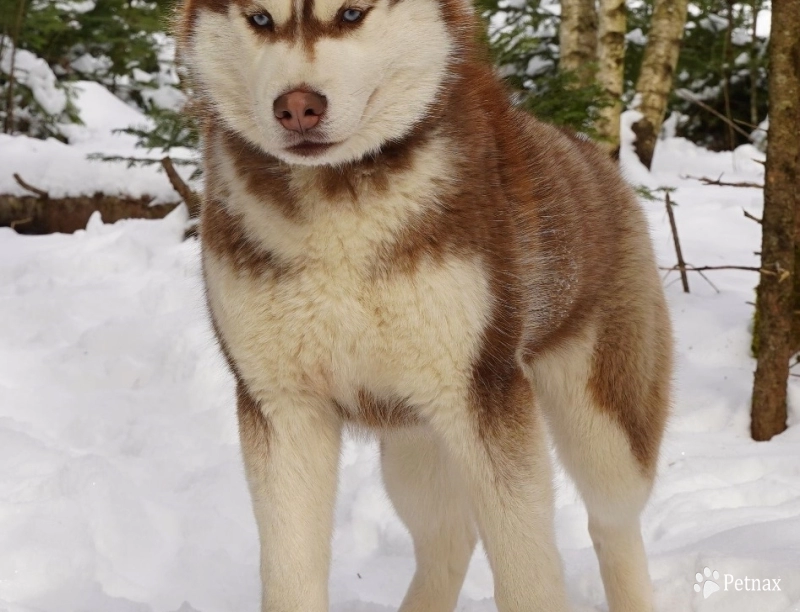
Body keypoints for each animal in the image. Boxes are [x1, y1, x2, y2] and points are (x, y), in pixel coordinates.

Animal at [180, 0, 668, 608]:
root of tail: (593, 157)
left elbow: (528, 574)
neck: (338, 210)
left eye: (350, 14)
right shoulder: (282, 405)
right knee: (448, 537)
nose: (297, 108)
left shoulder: (484, 395)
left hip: (603, 426)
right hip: (412, 437)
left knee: (613, 522)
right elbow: (289, 573)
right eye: (261, 19)